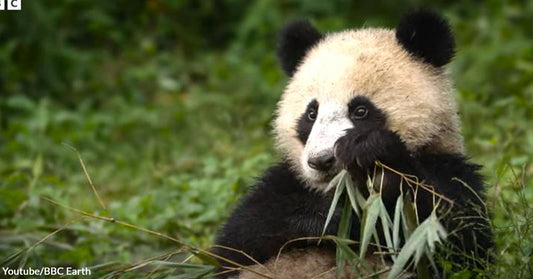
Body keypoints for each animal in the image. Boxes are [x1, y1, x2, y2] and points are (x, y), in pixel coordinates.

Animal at [210, 8, 492, 279]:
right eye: (311, 114)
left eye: (360, 110)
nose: (321, 160)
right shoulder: (286, 183)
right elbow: (239, 241)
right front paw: (329, 217)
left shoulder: (449, 169)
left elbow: (457, 240)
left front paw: (371, 153)